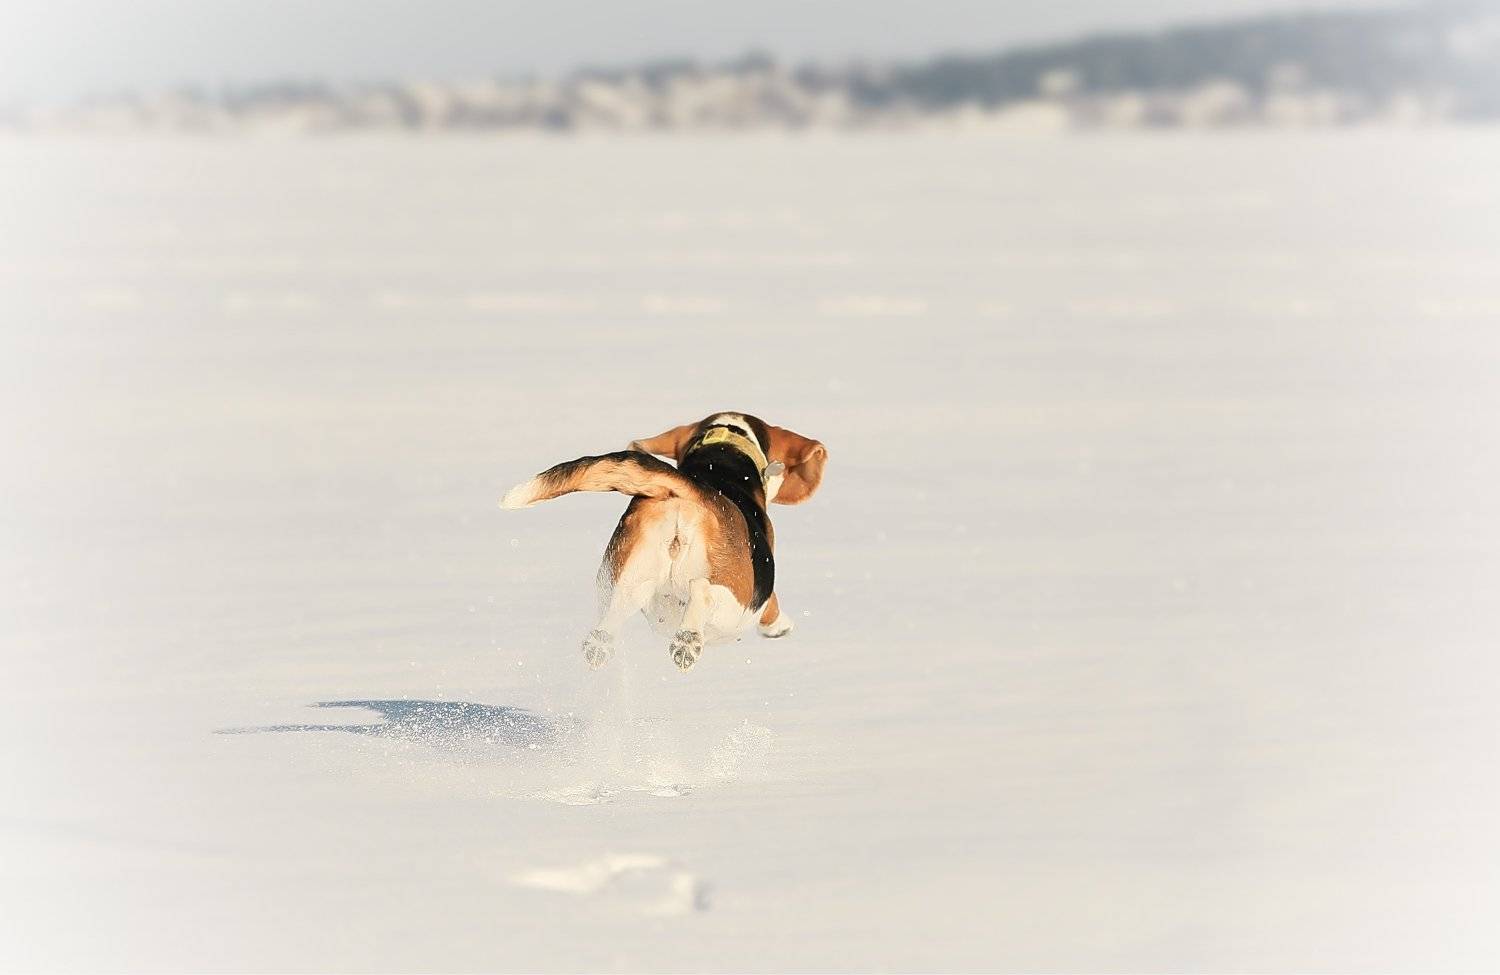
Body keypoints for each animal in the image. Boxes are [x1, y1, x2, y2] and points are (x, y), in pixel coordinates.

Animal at [500, 412, 827, 671]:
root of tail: (688, 494)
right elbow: (772, 605)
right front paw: (779, 626)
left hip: (625, 574)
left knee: (614, 615)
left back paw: (601, 646)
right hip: (732, 604)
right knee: (702, 593)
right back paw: (687, 644)